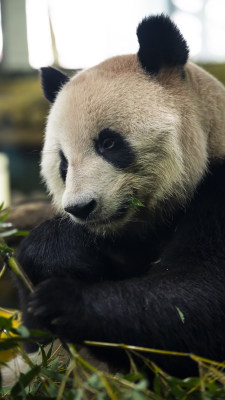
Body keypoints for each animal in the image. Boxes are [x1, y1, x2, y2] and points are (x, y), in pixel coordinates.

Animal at [4, 14, 225, 380]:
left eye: (108, 143)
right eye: (63, 163)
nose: (82, 208)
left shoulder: (218, 193)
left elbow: (197, 303)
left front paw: (62, 300)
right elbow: (34, 335)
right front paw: (60, 252)